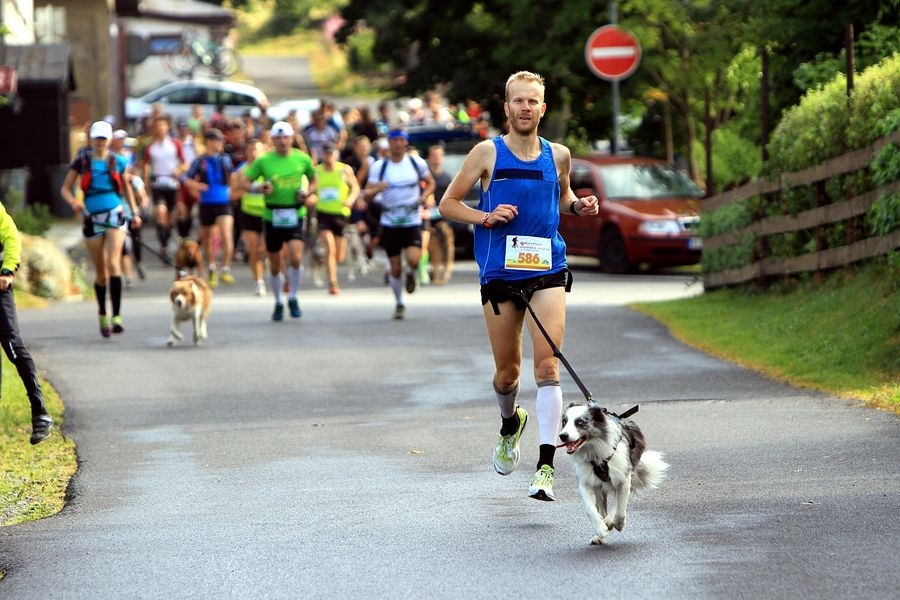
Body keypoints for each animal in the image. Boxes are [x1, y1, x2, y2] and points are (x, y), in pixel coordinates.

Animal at [556, 404, 668, 544]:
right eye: (564, 422)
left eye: (580, 422)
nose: (563, 436)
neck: (594, 450)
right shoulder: (586, 482)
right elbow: (590, 509)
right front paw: (600, 529)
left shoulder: (623, 478)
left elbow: (620, 507)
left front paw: (618, 524)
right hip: (599, 488)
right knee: (602, 506)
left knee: (617, 501)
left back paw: (610, 521)